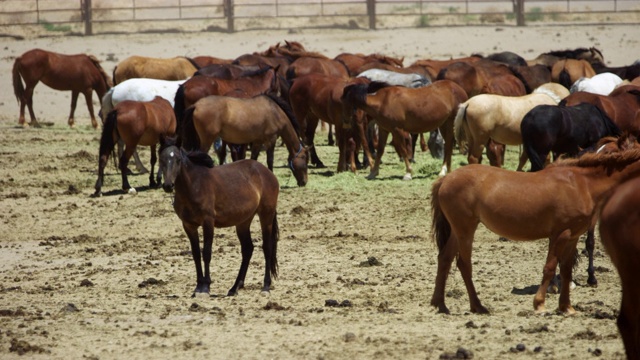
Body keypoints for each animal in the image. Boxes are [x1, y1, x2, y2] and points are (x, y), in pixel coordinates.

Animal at [180, 93, 310, 187]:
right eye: (304, 159)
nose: (304, 182)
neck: (275, 111)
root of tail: (196, 105)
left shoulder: (257, 142)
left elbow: (253, 158)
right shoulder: (270, 140)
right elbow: (270, 160)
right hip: (207, 140)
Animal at [340, 80, 470, 179]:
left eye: (343, 102)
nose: (345, 123)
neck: (383, 102)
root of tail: (459, 88)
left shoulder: (397, 130)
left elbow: (403, 150)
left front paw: (408, 173)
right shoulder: (384, 129)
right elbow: (380, 150)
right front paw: (373, 173)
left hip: (450, 123)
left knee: (449, 145)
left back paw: (444, 171)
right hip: (444, 124)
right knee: (448, 145)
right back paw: (445, 171)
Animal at [430, 145, 640, 314]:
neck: (583, 184)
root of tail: (446, 179)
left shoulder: (572, 237)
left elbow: (566, 271)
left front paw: (566, 307)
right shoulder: (560, 234)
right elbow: (549, 268)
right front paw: (539, 304)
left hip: (457, 231)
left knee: (445, 259)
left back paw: (440, 304)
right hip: (465, 230)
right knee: (464, 264)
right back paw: (478, 306)